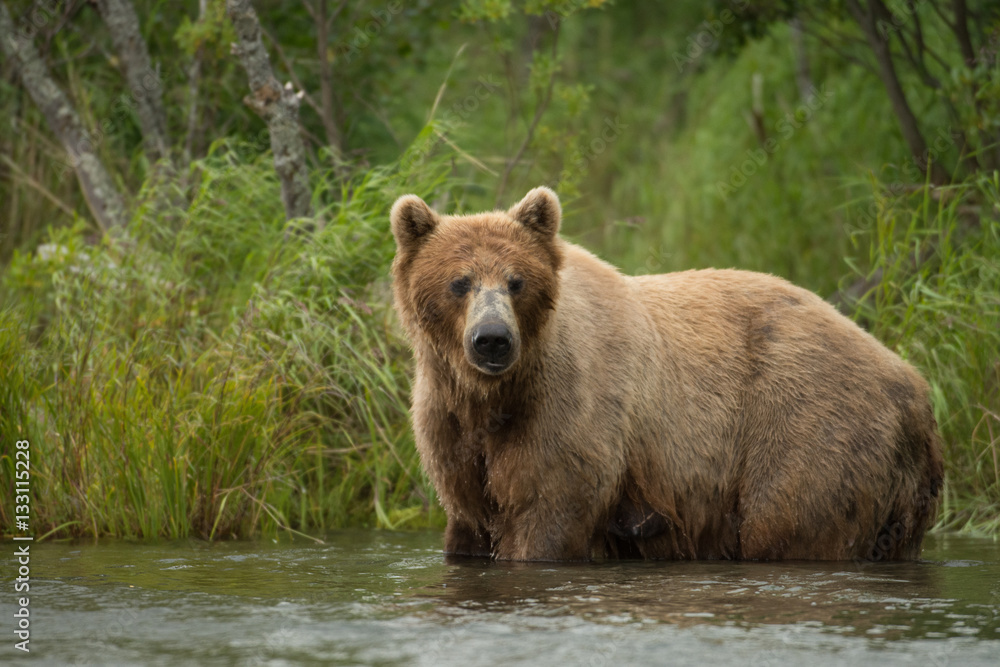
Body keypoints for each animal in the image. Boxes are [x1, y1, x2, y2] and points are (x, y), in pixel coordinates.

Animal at [390, 185, 944, 560]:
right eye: (459, 282)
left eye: (516, 281)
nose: (492, 339)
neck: (494, 394)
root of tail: (915, 386)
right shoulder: (449, 428)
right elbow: (467, 517)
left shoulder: (568, 414)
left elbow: (545, 511)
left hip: (808, 426)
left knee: (790, 524)